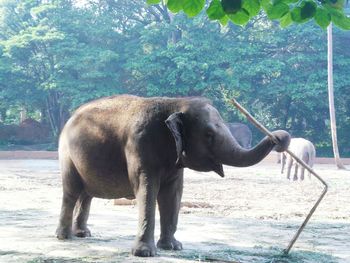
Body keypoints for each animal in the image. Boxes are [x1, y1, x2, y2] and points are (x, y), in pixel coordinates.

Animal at [54, 95, 290, 258]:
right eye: (209, 135)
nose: (279, 139)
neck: (176, 102)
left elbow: (173, 194)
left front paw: (173, 247)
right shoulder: (140, 145)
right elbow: (147, 189)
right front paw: (144, 253)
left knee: (86, 194)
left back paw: (83, 234)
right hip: (66, 154)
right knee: (72, 190)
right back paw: (64, 237)